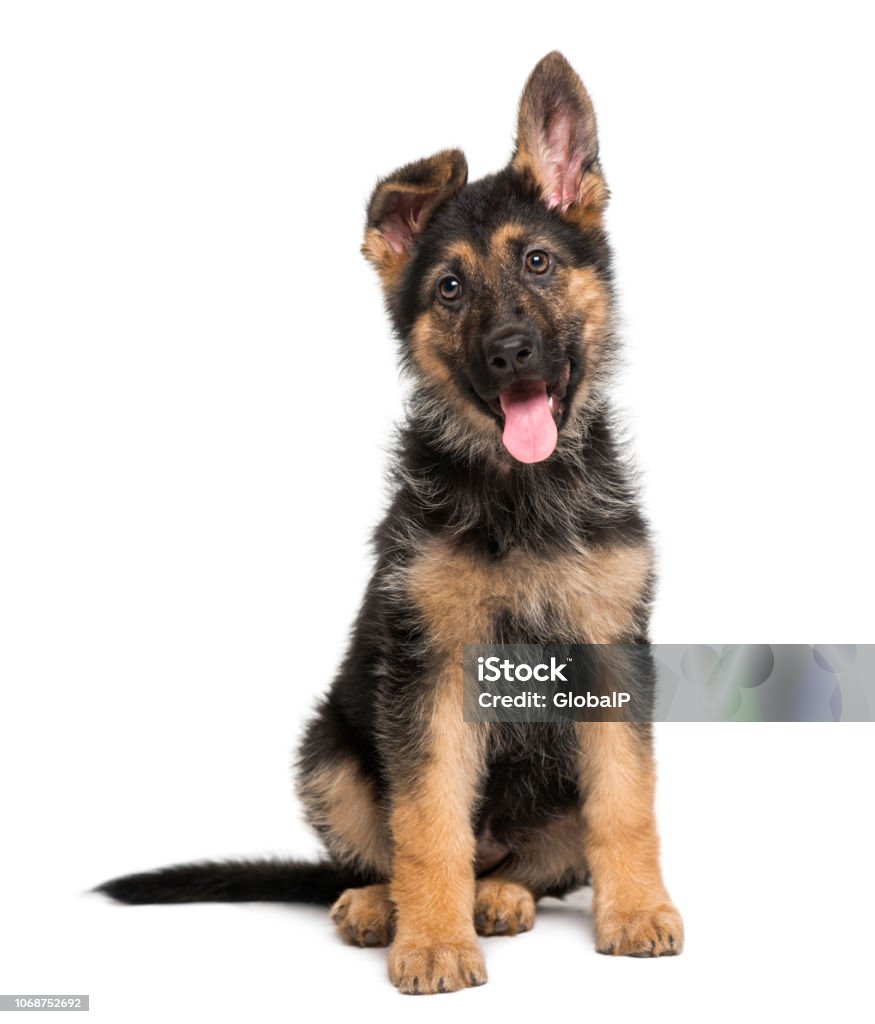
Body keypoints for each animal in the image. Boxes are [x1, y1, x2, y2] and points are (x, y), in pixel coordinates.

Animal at [97, 49, 684, 991]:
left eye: (538, 263)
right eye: (448, 289)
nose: (510, 351)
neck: (517, 495)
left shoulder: (610, 656)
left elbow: (625, 801)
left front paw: (634, 912)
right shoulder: (429, 671)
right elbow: (427, 821)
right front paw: (434, 941)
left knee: (530, 863)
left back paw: (499, 896)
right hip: (329, 751)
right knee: (390, 852)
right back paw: (382, 906)